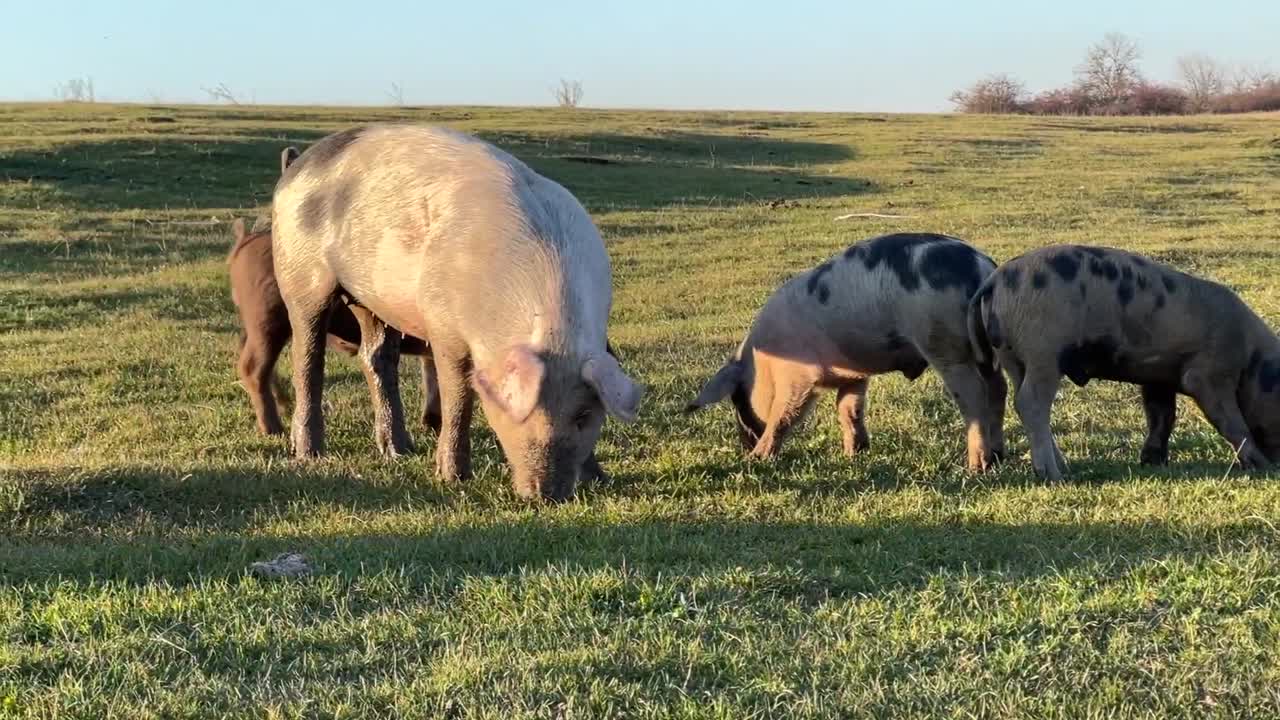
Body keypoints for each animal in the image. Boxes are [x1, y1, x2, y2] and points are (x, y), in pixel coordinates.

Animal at [270, 124, 642, 500]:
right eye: (518, 413)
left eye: (583, 415)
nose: (544, 494)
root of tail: (298, 164)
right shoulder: (444, 326)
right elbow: (458, 396)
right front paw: (452, 477)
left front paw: (599, 479)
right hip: (300, 274)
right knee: (307, 357)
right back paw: (309, 453)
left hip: (368, 297)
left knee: (376, 358)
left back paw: (400, 451)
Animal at [685, 233, 1006, 471]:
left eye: (737, 399)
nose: (745, 446)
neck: (762, 363)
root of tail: (982, 269)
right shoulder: (853, 373)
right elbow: (848, 409)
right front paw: (855, 454)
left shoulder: (797, 376)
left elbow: (784, 415)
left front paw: (756, 460)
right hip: (987, 348)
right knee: (998, 389)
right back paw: (1000, 456)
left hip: (947, 347)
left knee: (975, 396)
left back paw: (976, 467)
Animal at [967, 244, 1280, 480]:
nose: (1275, 462)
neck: (1251, 357)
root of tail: (995, 280)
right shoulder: (1208, 374)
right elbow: (1230, 420)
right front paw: (1259, 465)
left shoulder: (1158, 376)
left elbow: (1162, 415)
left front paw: (1152, 461)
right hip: (1043, 350)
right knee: (1030, 402)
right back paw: (1053, 475)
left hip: (1012, 356)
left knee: (1021, 398)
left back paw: (1064, 467)